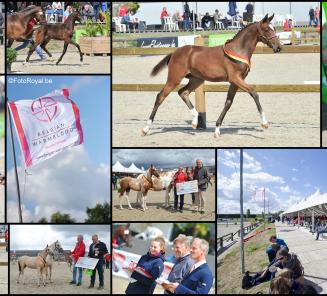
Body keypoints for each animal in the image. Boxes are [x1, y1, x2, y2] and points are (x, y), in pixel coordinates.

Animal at [142, 13, 284, 138]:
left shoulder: (235, 82)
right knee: (160, 96)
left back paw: (195, 121)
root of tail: (175, 52)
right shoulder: (236, 78)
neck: (238, 49)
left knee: (183, 92)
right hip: (174, 78)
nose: (279, 47)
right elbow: (254, 93)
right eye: (267, 29)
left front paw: (217, 130)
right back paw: (146, 128)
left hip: (197, 80)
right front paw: (264, 123)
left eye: (274, 28)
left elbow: (228, 103)